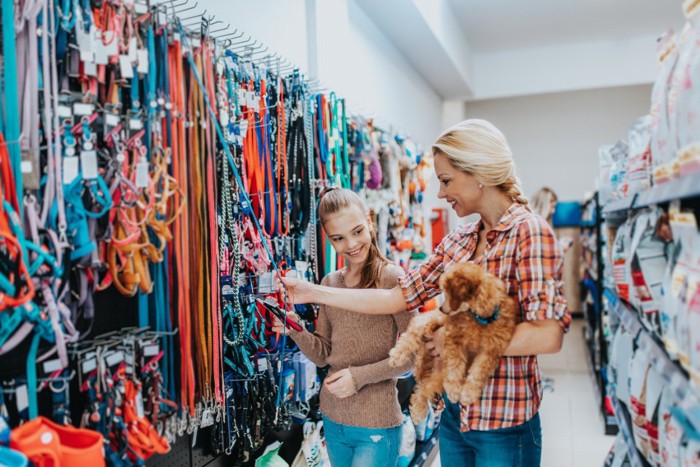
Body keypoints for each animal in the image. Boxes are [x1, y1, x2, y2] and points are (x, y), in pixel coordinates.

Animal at [392, 264, 516, 424]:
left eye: (449, 293)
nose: (441, 308)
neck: (479, 318)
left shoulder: (492, 349)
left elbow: (479, 372)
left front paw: (469, 393)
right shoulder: (453, 338)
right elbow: (455, 366)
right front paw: (454, 390)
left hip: (438, 375)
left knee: (423, 389)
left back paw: (418, 411)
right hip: (428, 323)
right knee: (412, 334)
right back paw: (397, 356)